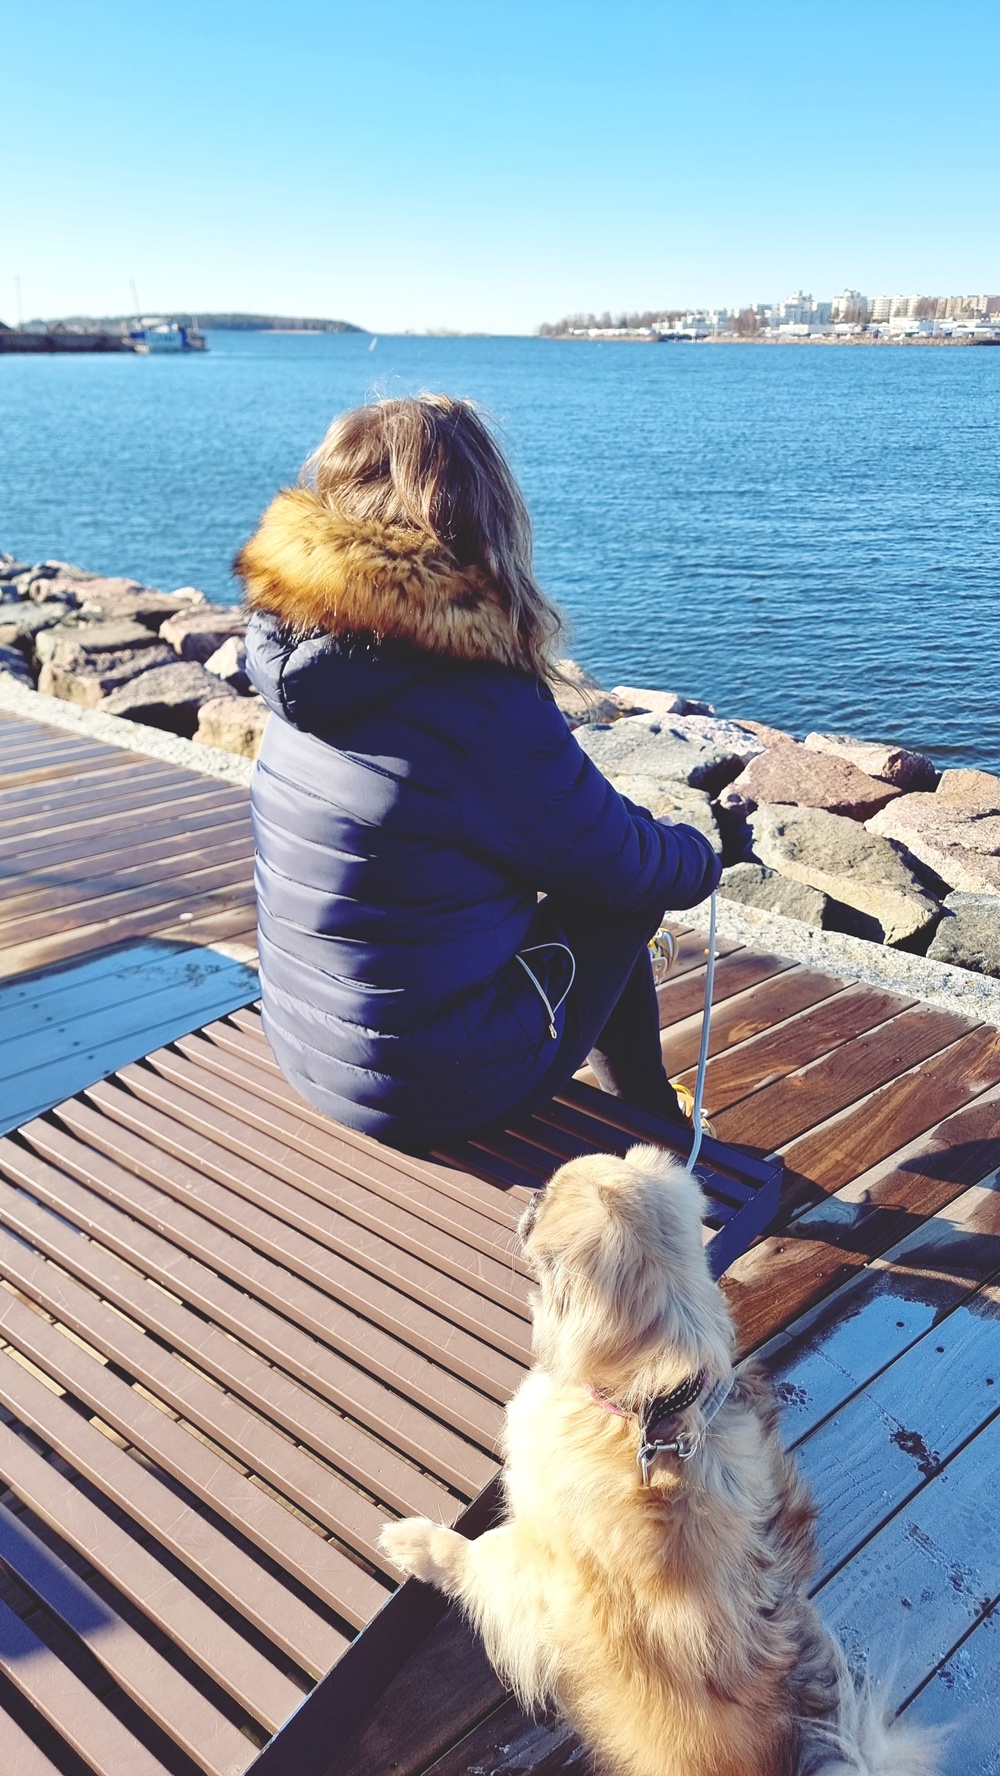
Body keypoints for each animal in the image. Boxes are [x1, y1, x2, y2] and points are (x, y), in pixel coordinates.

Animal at [381, 1147, 941, 1776]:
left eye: (548, 1198)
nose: (531, 1195)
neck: (649, 1411)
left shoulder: (536, 1559)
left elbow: (471, 1555)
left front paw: (413, 1544)